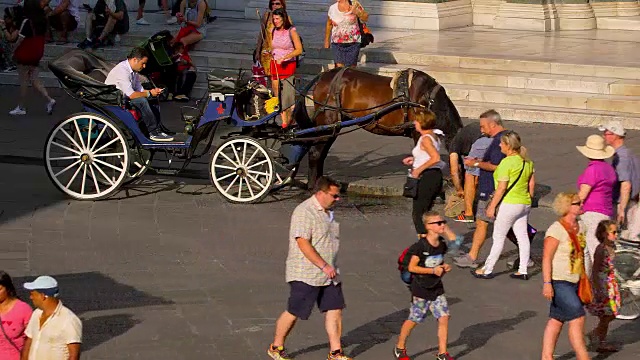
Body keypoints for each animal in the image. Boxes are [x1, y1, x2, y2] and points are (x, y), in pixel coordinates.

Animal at [292, 66, 462, 187]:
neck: (429, 101)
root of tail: (323, 76)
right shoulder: (417, 132)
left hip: (334, 125)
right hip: (328, 121)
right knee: (315, 152)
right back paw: (313, 185)